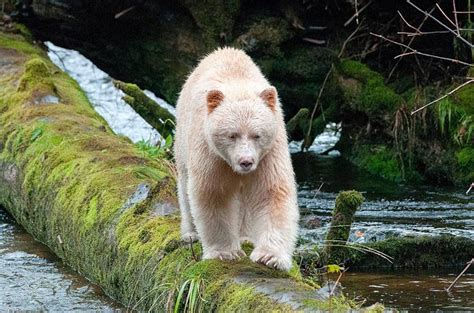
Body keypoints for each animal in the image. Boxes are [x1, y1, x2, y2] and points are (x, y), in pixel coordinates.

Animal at [174, 47, 300, 270]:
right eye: (232, 135)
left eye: (257, 135)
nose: (246, 162)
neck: (239, 85)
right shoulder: (210, 153)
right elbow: (213, 193)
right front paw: (225, 253)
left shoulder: (269, 153)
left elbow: (271, 192)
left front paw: (270, 257)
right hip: (183, 138)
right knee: (184, 184)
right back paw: (190, 234)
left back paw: (245, 236)